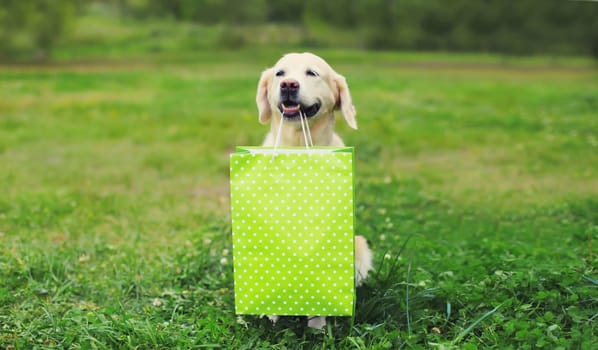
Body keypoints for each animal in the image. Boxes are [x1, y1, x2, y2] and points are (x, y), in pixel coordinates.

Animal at [255, 51, 372, 328]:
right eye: (280, 73)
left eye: (312, 73)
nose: (288, 85)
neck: (298, 145)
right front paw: (271, 314)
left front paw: (317, 324)